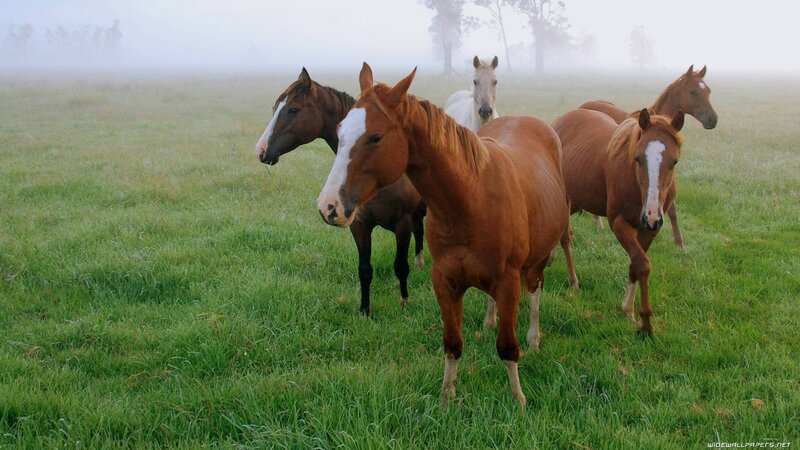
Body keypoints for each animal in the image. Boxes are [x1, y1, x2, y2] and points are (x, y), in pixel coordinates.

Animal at [254, 67, 426, 316]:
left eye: (293, 109)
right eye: (276, 107)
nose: (261, 150)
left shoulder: (401, 225)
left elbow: (400, 266)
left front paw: (405, 302)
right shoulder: (359, 226)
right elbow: (365, 270)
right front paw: (364, 312)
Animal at [317, 63, 569, 406]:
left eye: (375, 137)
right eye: (340, 131)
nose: (328, 206)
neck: (471, 199)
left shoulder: (507, 281)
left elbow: (507, 346)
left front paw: (518, 398)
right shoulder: (445, 281)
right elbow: (452, 343)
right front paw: (447, 396)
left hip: (538, 259)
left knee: (535, 289)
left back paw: (533, 336)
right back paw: (489, 321)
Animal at [553, 108, 685, 336]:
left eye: (674, 161)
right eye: (638, 158)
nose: (651, 215)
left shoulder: (649, 229)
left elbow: (636, 264)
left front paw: (628, 311)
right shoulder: (619, 223)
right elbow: (642, 264)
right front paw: (646, 324)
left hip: (577, 199)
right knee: (565, 237)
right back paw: (573, 280)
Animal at [579, 65, 717, 248]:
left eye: (708, 90)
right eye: (693, 92)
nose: (713, 120)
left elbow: (671, 209)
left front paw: (679, 243)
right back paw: (598, 224)